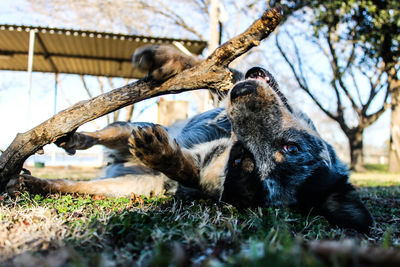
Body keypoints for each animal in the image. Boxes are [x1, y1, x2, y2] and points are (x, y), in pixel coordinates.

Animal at [6, 45, 374, 233]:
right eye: (291, 145)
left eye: (244, 164)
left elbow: (185, 168)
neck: (227, 139)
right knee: (106, 133)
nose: (240, 97)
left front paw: (161, 153)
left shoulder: (199, 170)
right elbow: (211, 67)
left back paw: (33, 183)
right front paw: (165, 59)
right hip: (128, 129)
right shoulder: (225, 87)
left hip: (125, 186)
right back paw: (74, 138)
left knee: (71, 184)